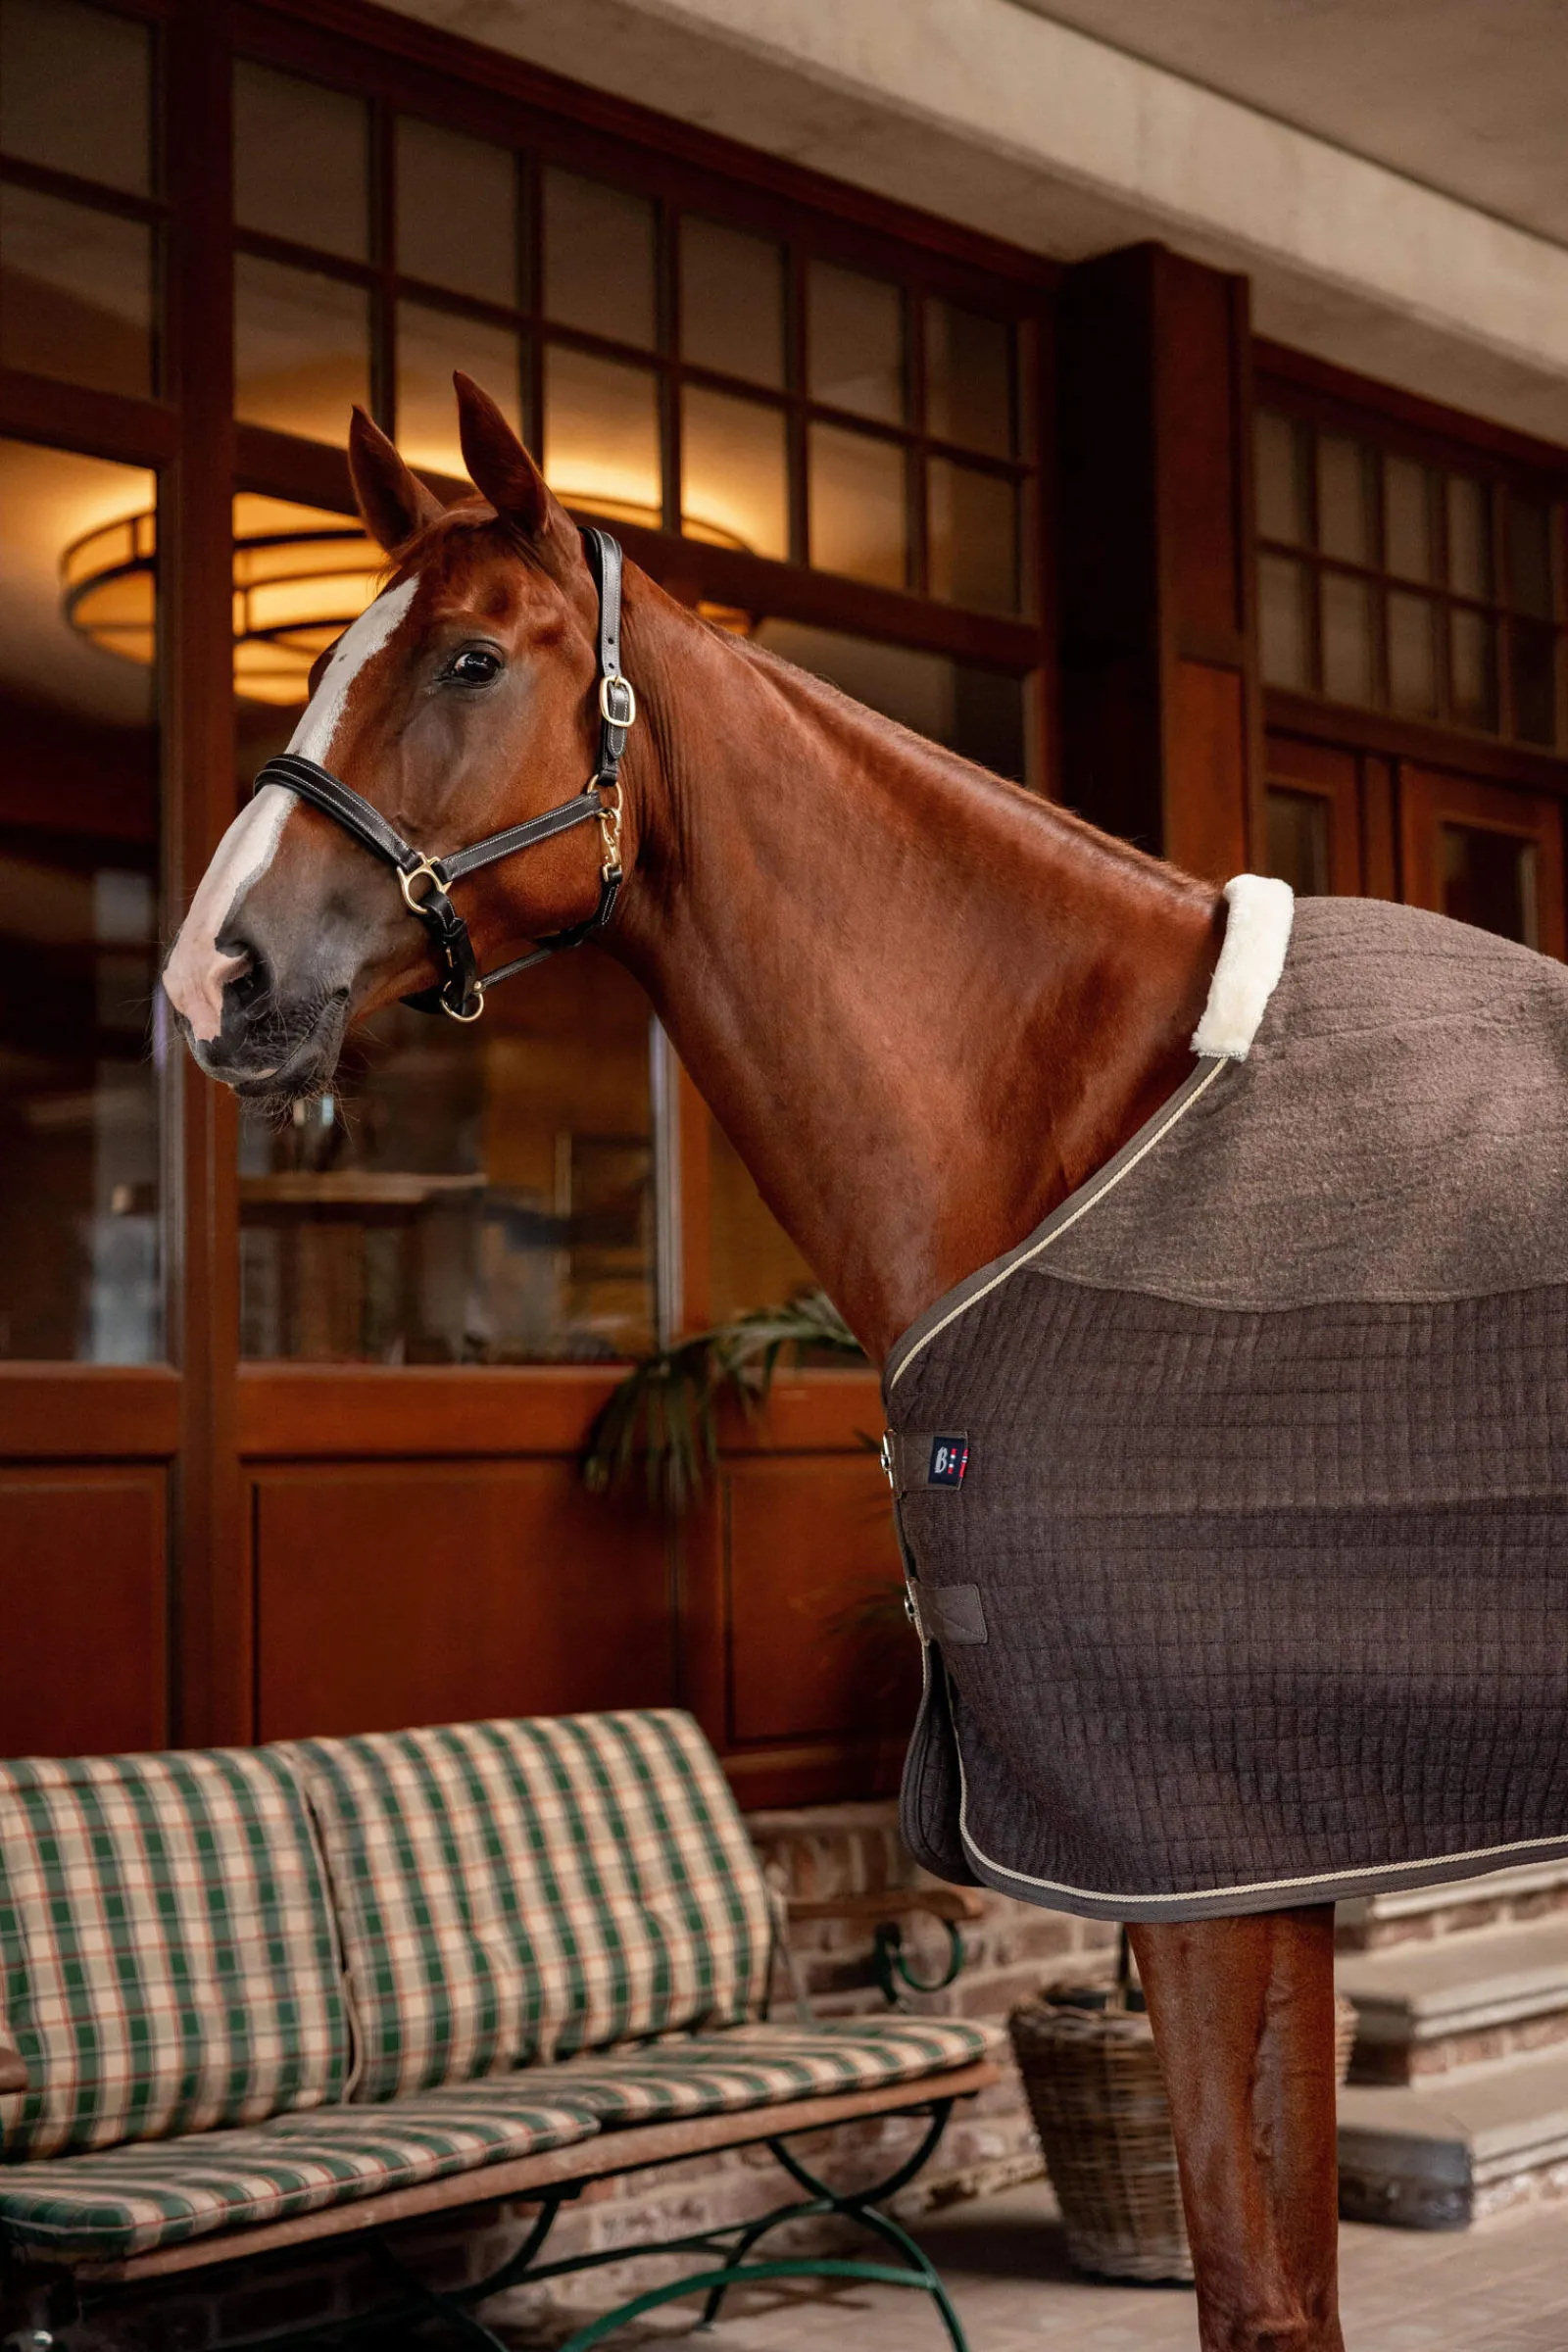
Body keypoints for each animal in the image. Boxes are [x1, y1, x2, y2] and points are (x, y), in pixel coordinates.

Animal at [163, 374, 1568, 2352]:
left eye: (467, 661)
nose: (213, 980)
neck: (1089, 1102)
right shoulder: (1257, 1844)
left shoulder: (1197, 1833)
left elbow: (1254, 2284)